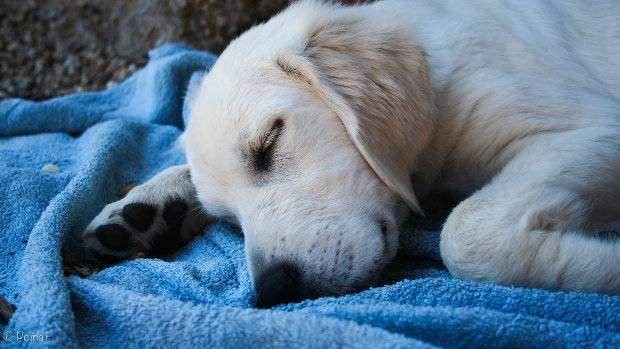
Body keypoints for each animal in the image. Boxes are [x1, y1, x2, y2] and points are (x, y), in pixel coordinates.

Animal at [81, 0, 620, 304]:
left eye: (269, 144)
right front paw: (147, 205)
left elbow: (465, 233)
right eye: (229, 221)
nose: (275, 289)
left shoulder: (598, 129)